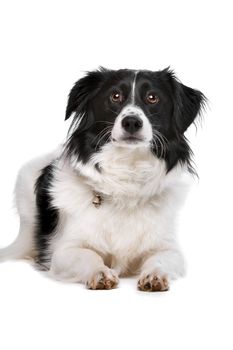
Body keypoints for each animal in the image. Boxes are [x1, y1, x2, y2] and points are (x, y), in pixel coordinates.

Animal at [0, 67, 206, 292]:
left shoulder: (169, 249)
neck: (127, 171)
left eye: (152, 98)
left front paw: (155, 275)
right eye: (115, 96)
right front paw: (100, 272)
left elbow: (160, 259)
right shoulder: (64, 252)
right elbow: (89, 255)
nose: (131, 122)